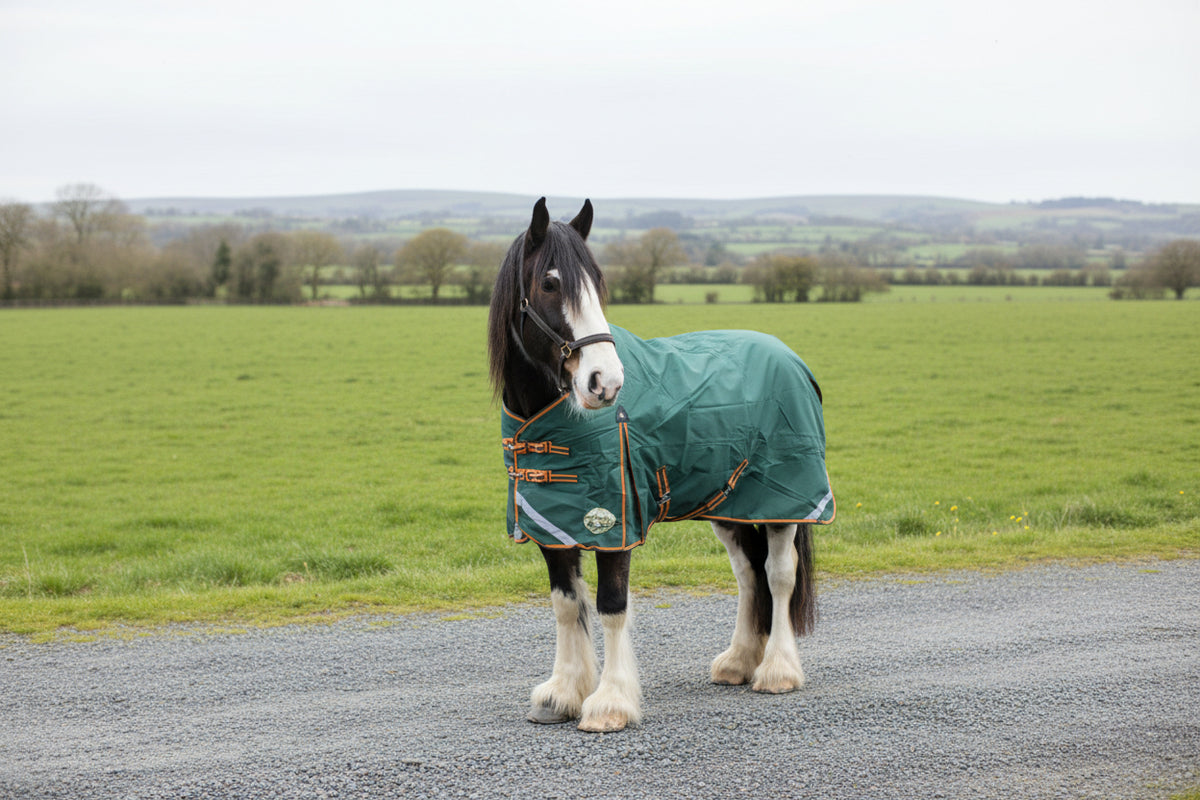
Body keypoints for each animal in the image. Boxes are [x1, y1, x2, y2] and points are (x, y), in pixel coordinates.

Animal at [487, 197, 834, 732]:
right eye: (549, 284)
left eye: (597, 283)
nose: (605, 382)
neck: (547, 418)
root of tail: (792, 359)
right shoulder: (551, 525)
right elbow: (566, 605)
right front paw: (563, 693)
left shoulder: (613, 523)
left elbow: (611, 607)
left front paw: (610, 702)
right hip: (730, 506)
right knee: (748, 574)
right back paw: (738, 661)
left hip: (784, 503)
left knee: (778, 575)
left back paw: (777, 669)